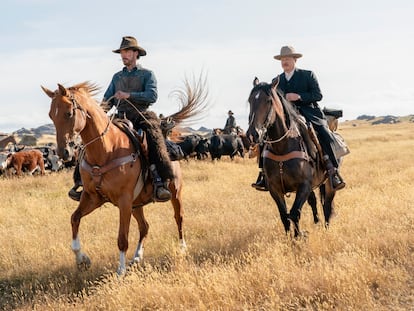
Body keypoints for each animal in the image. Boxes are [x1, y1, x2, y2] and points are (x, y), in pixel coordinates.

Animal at [42, 79, 207, 274]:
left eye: (68, 113)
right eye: (51, 115)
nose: (64, 152)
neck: (107, 150)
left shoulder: (124, 200)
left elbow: (122, 238)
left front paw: (120, 271)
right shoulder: (92, 197)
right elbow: (74, 219)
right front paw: (82, 259)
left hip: (175, 192)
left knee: (178, 217)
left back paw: (181, 248)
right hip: (137, 204)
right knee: (144, 226)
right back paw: (136, 257)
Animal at [246, 77, 336, 236]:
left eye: (268, 101)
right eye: (250, 101)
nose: (253, 134)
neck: (282, 147)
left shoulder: (304, 185)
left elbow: (294, 213)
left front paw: (299, 236)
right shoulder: (274, 189)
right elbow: (284, 215)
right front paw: (290, 238)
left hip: (329, 184)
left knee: (327, 204)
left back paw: (326, 227)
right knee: (313, 201)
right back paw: (316, 222)